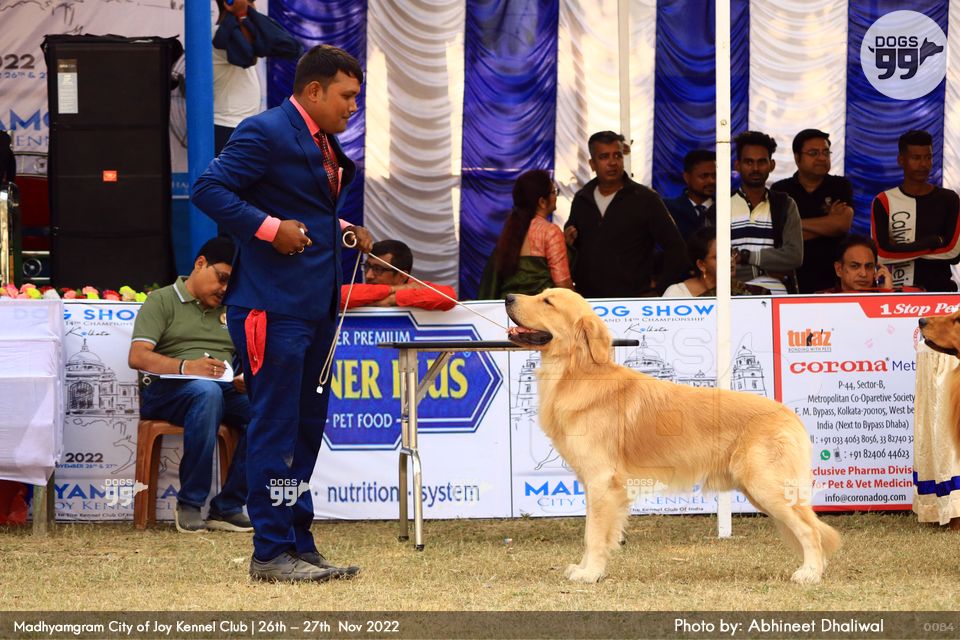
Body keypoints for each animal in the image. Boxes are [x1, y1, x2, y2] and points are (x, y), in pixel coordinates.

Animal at [505, 288, 840, 584]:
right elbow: (597, 532)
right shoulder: (595, 485)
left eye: (547, 301)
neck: (576, 374)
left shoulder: (601, 480)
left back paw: (810, 573)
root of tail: (789, 414)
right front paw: (587, 569)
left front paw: (591, 574)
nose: (508, 297)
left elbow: (593, 535)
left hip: (767, 486)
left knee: (811, 530)